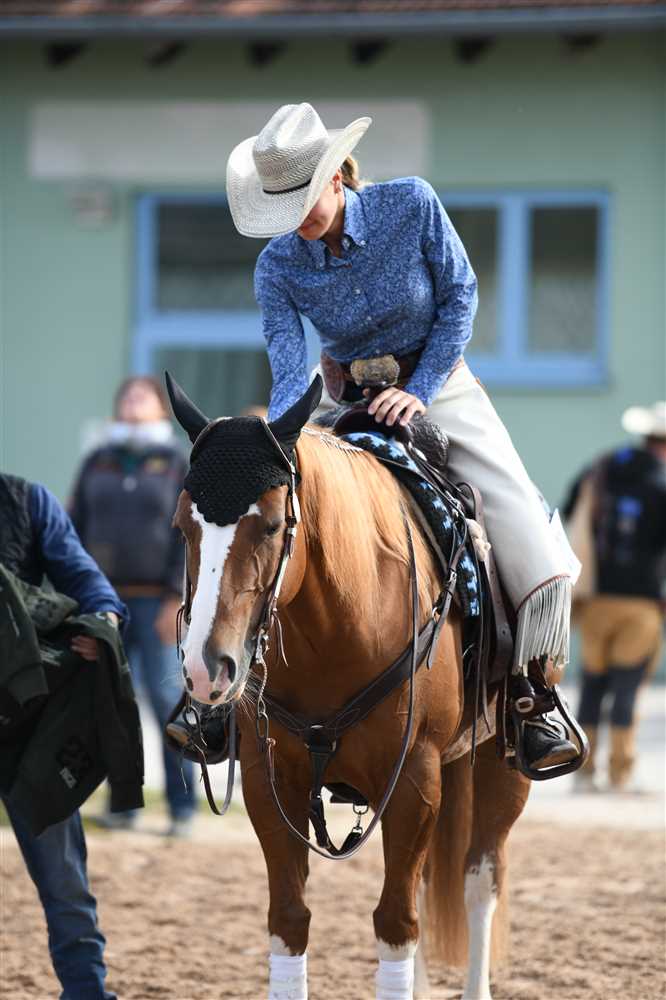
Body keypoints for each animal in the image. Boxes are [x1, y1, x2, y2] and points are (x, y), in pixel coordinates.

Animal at [166, 373, 530, 1000]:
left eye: (271, 524)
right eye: (182, 526)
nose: (206, 669)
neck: (339, 625)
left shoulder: (414, 780)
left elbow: (397, 924)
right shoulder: (269, 779)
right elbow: (289, 921)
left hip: (500, 767)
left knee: (481, 878)